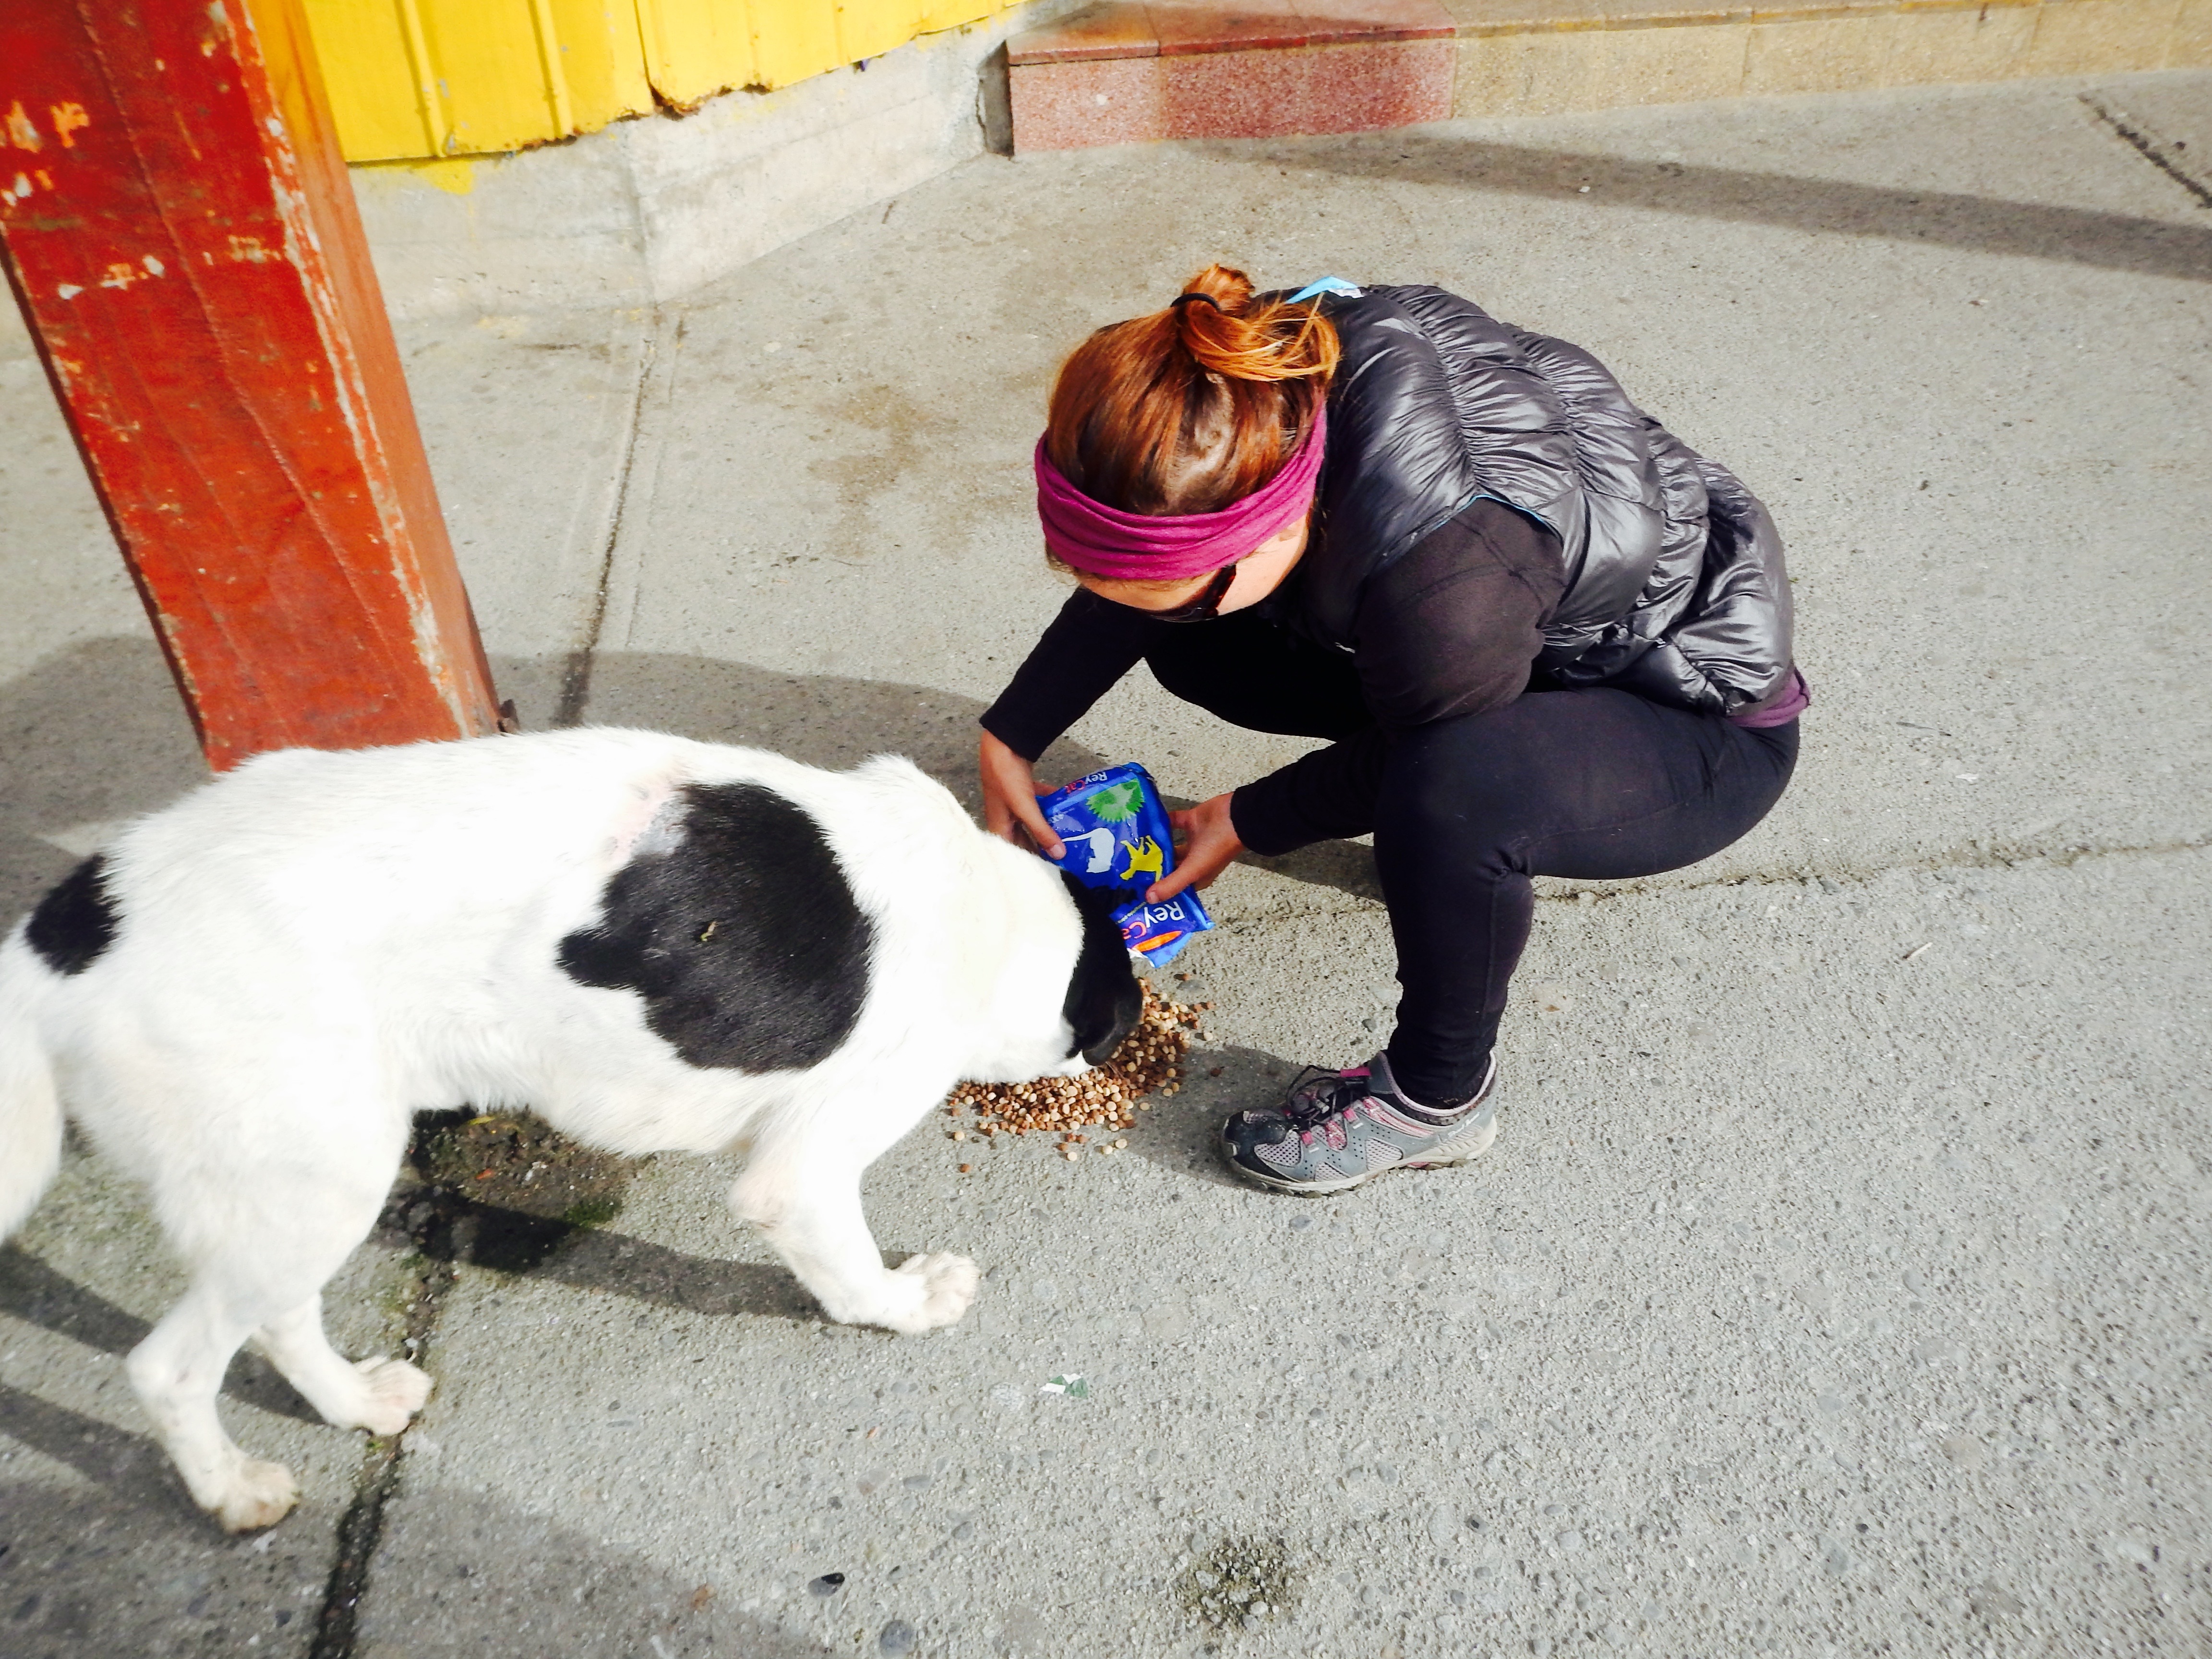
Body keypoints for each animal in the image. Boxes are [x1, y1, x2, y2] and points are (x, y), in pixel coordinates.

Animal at [0, 728, 1140, 1531]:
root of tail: (58, 939)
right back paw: (233, 1491)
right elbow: (854, 1275)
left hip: (303, 1176)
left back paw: (357, 1404)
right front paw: (911, 1303)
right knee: (171, 1368)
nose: (1097, 1058)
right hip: (313, 1167)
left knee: (277, 1314)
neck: (988, 910)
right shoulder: (805, 1169)